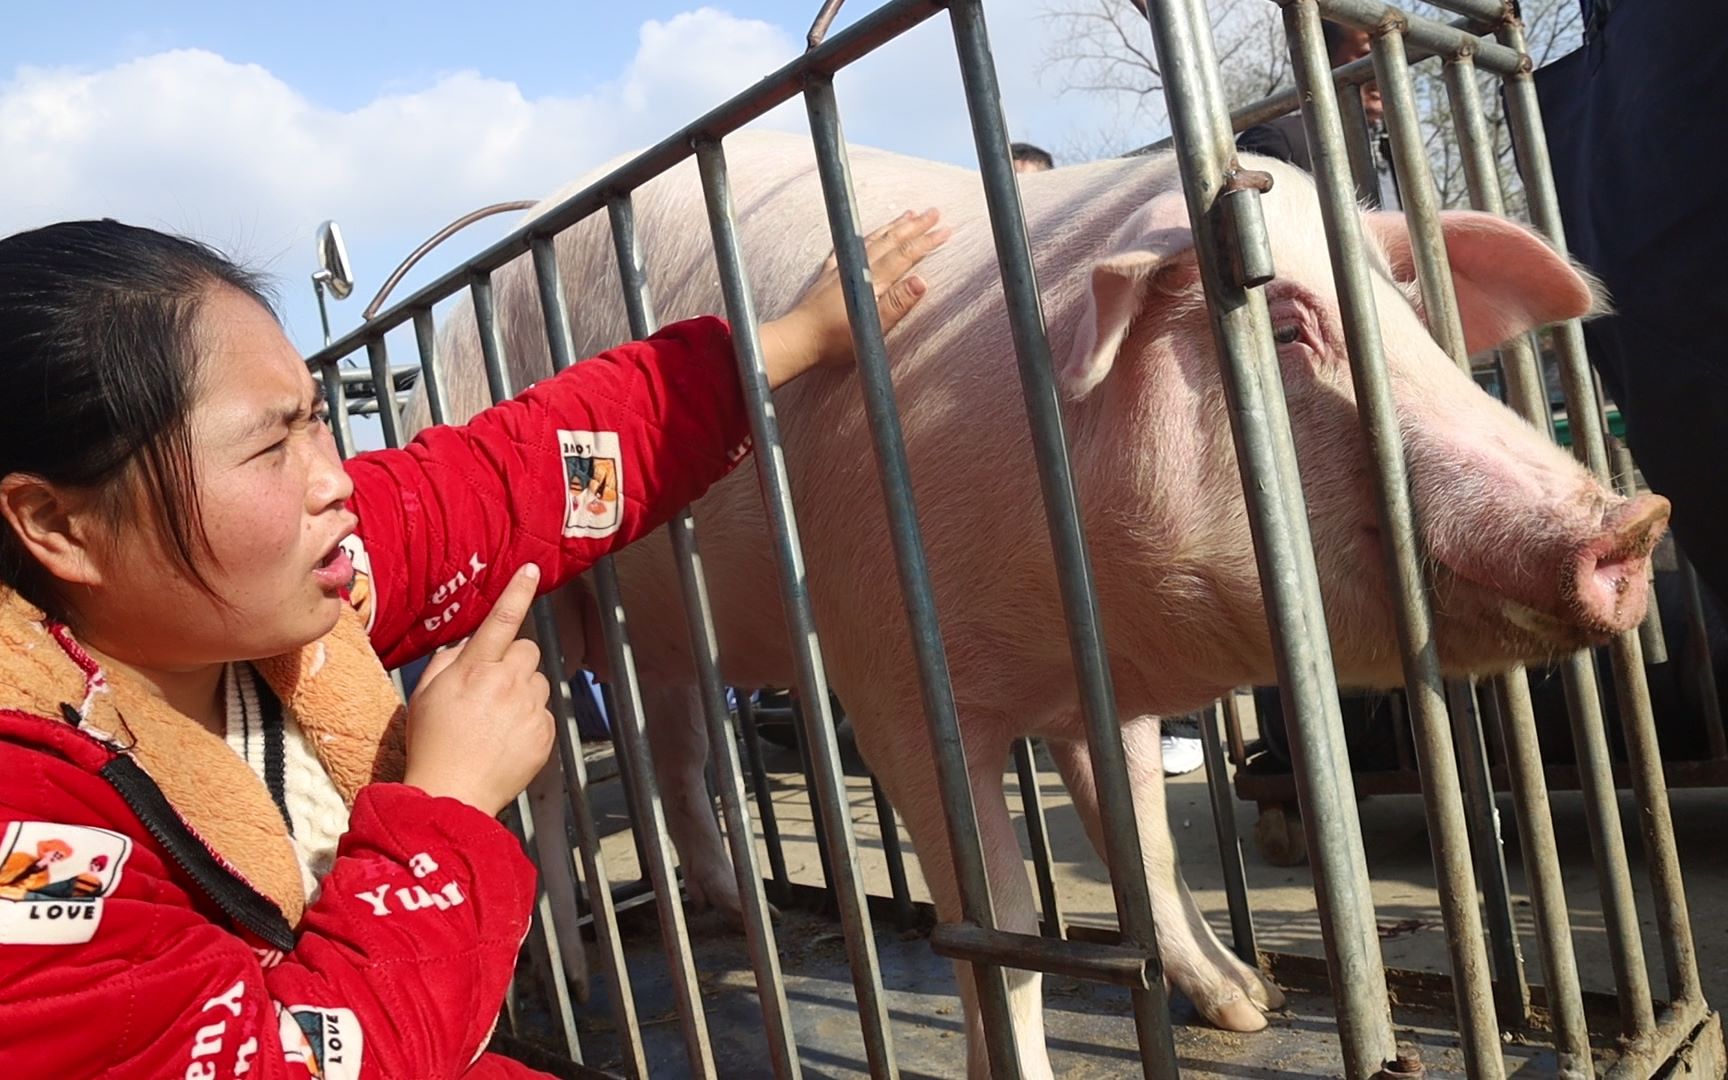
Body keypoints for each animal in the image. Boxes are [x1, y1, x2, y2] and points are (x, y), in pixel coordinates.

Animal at [411, 130, 1665, 1071]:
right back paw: (578, 982)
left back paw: (750, 915)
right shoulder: (890, 676)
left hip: (668, 636)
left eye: (1404, 309)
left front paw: (1244, 1005)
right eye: (1284, 322)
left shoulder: (1109, 688)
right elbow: (1001, 922)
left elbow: (1144, 846)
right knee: (549, 794)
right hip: (531, 612)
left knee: (673, 763)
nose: (1634, 525)